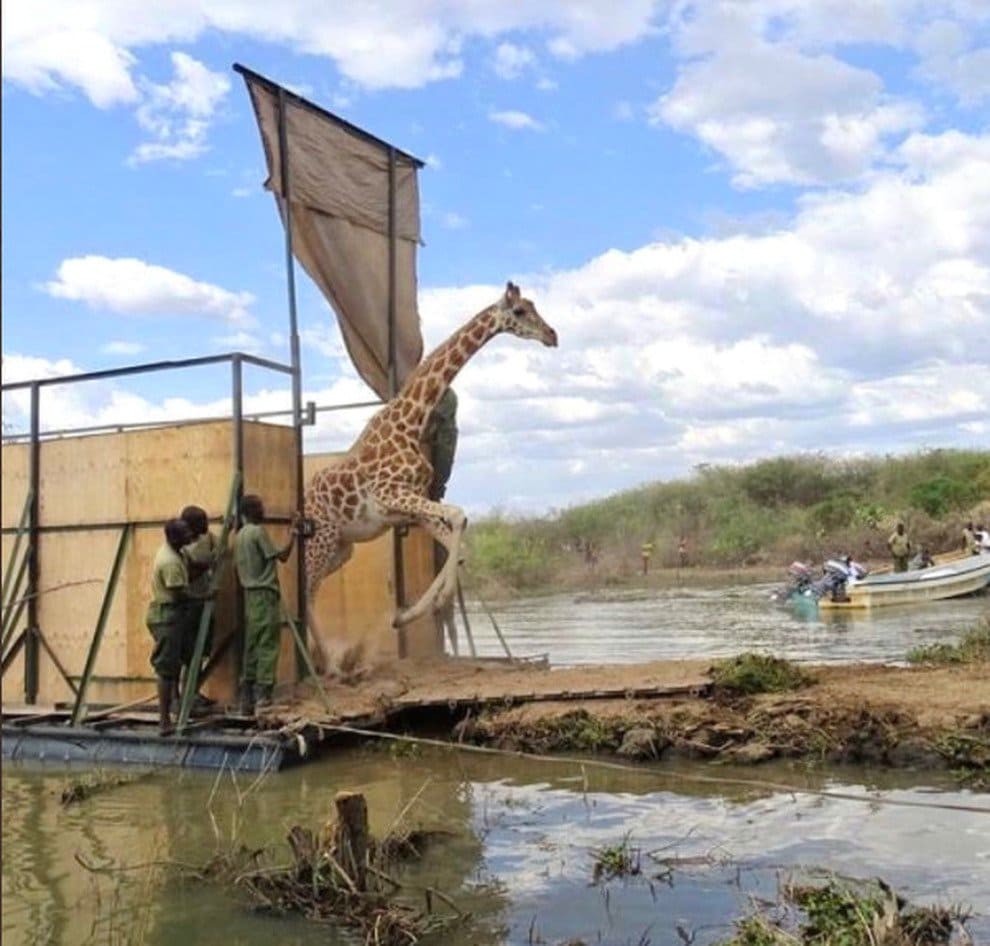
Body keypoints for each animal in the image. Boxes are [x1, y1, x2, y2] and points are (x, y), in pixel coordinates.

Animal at [302, 281, 557, 672]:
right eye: (519, 312)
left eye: (534, 306)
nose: (552, 335)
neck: (411, 420)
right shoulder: (392, 495)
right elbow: (458, 516)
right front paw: (430, 604)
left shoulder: (410, 507)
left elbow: (457, 537)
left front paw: (410, 614)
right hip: (321, 541)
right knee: (303, 592)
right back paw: (328, 666)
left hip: (341, 548)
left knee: (310, 592)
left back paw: (329, 663)